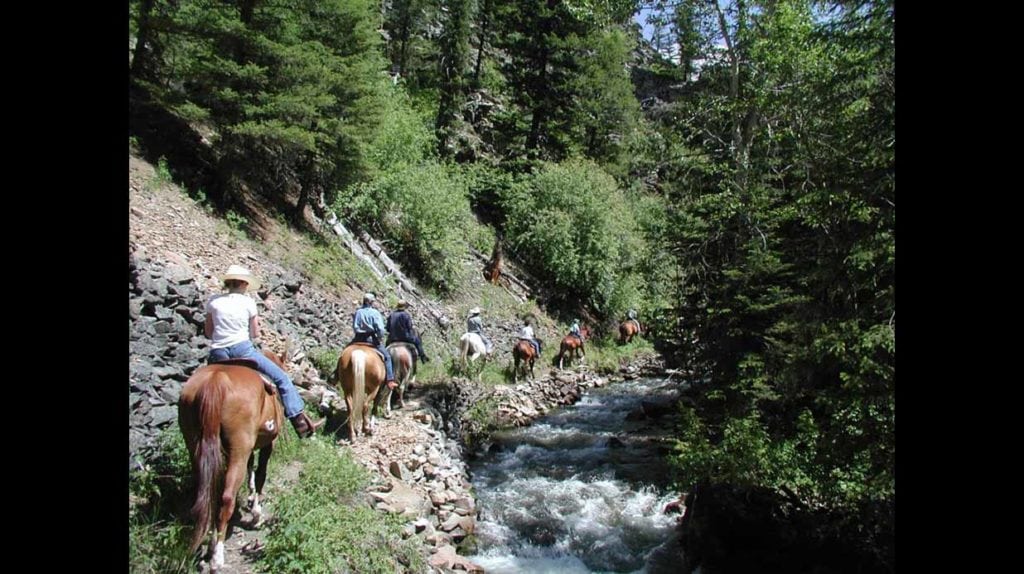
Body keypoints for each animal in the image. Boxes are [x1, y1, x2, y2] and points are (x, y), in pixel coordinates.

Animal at [177, 349, 286, 568]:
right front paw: (256, 513)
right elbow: (260, 474)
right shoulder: (267, 444)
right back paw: (217, 556)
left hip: (194, 443)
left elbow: (251, 469)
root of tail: (216, 380)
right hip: (239, 448)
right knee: (227, 497)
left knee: (207, 493)